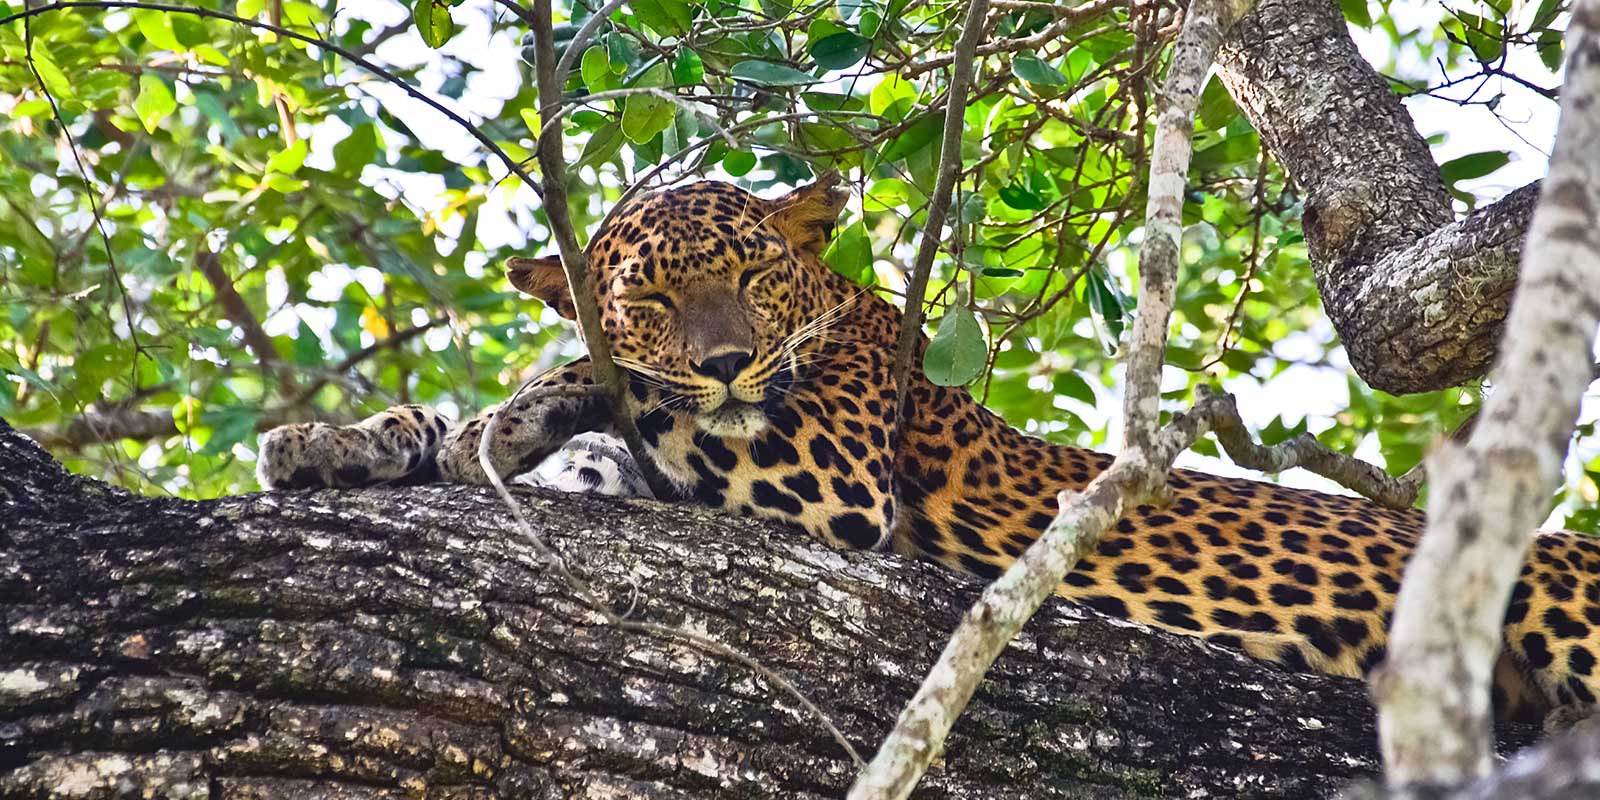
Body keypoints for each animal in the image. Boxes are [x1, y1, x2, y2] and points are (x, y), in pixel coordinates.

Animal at [257, 173, 1600, 726]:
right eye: (649, 295)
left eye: (751, 276)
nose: (727, 358)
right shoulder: (638, 463)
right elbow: (515, 432)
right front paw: (332, 442)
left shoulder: (829, 475)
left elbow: (618, 393)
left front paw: (539, 394)